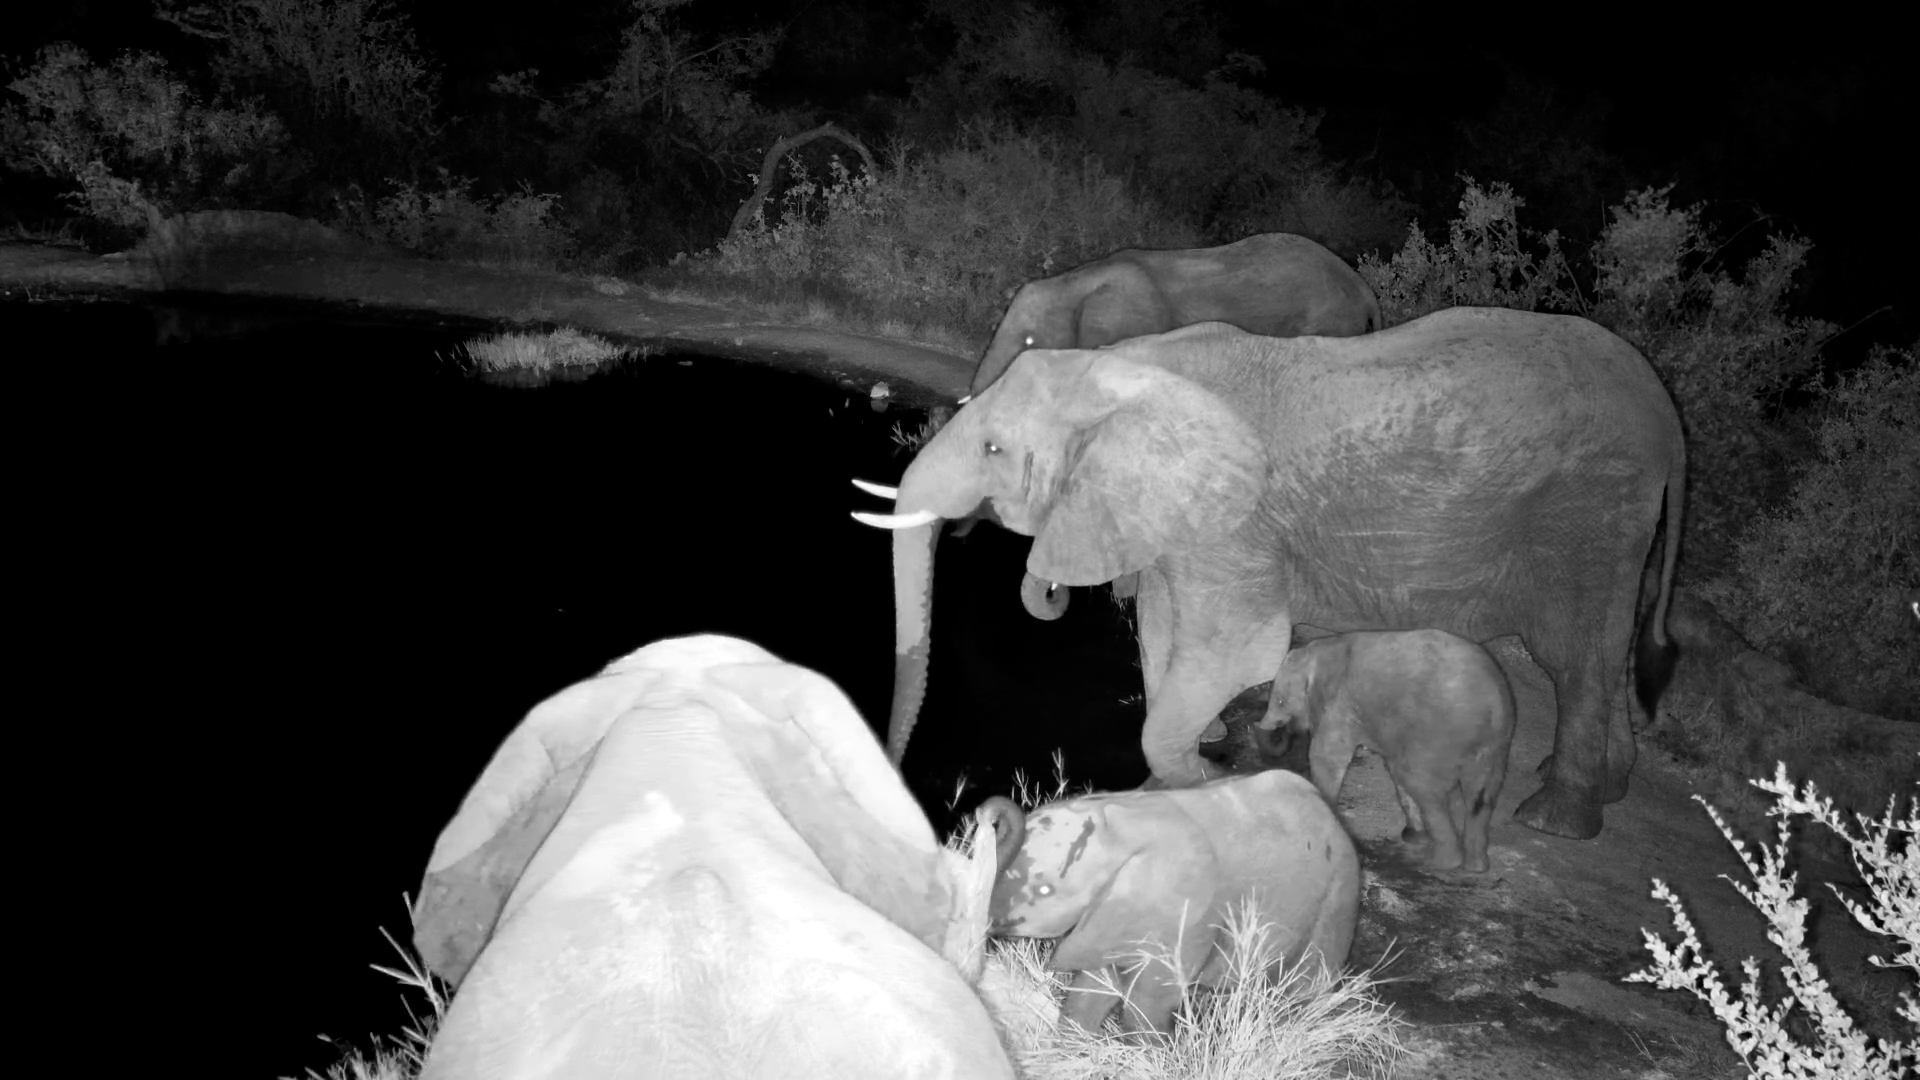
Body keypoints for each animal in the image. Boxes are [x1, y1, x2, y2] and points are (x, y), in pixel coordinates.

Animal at [854, 307, 1685, 841]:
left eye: (993, 448)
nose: (897, 772)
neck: (1121, 367)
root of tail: (1667, 413)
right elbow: (1161, 632)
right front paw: (1198, 763)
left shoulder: (1235, 524)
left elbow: (1232, 651)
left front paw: (1203, 783)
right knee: (1603, 653)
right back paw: (1599, 785)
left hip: (1588, 514)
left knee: (1575, 654)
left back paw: (1556, 819)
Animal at [977, 768, 1359, 1036]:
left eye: (1043, 891)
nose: (984, 814)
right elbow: (1091, 991)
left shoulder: (1184, 918)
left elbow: (1144, 1010)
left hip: (1337, 899)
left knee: (1302, 988)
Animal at [1257, 629, 1517, 872]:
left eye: (1280, 701)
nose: (1282, 733)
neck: (1321, 649)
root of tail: (1493, 711)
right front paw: (1413, 834)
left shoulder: (1342, 704)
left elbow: (1326, 756)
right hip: (1497, 750)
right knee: (1480, 799)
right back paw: (1476, 866)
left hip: (1439, 740)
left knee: (1422, 787)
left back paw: (1441, 864)